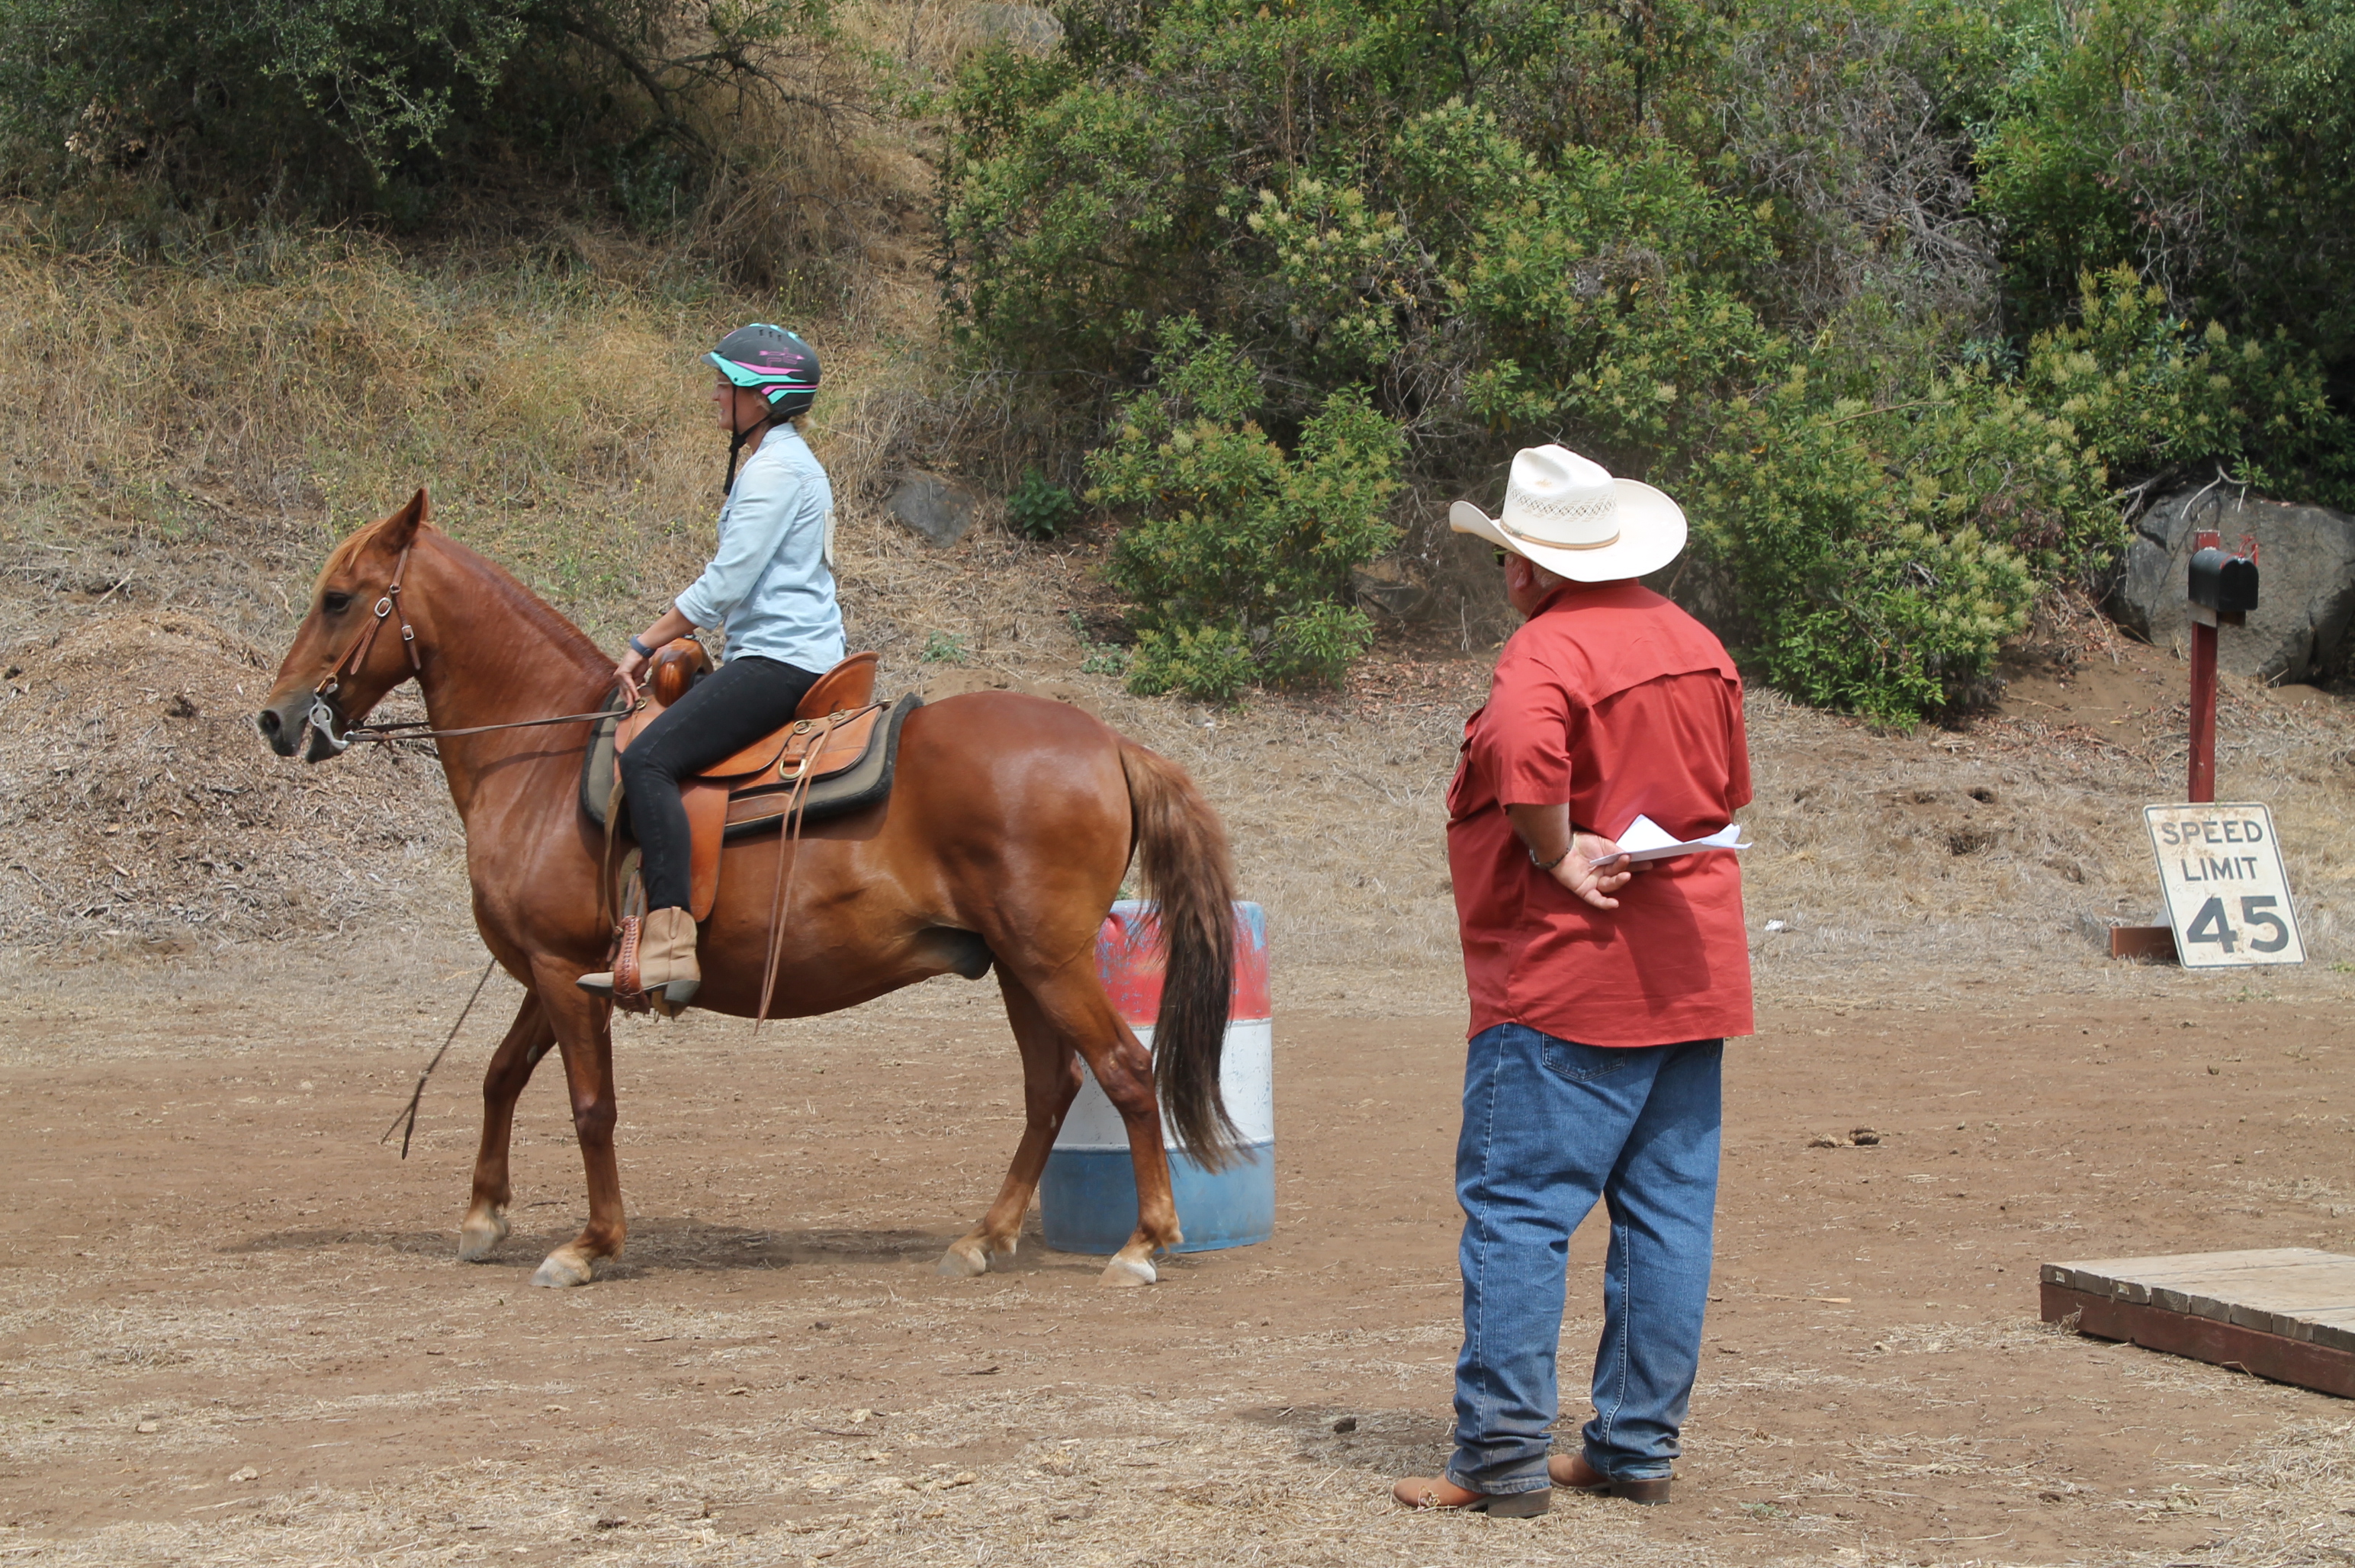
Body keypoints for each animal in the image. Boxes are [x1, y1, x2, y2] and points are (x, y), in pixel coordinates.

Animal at [255, 490, 1243, 1280]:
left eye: (337, 598)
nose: (274, 717)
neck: (542, 755)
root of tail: (1110, 741)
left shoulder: (558, 970)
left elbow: (589, 1106)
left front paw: (590, 1244)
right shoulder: (562, 970)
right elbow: (502, 1074)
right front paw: (483, 1213)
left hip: (1047, 959)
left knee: (1122, 1071)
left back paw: (1142, 1243)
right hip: (1017, 965)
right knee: (1051, 1088)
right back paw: (984, 1236)